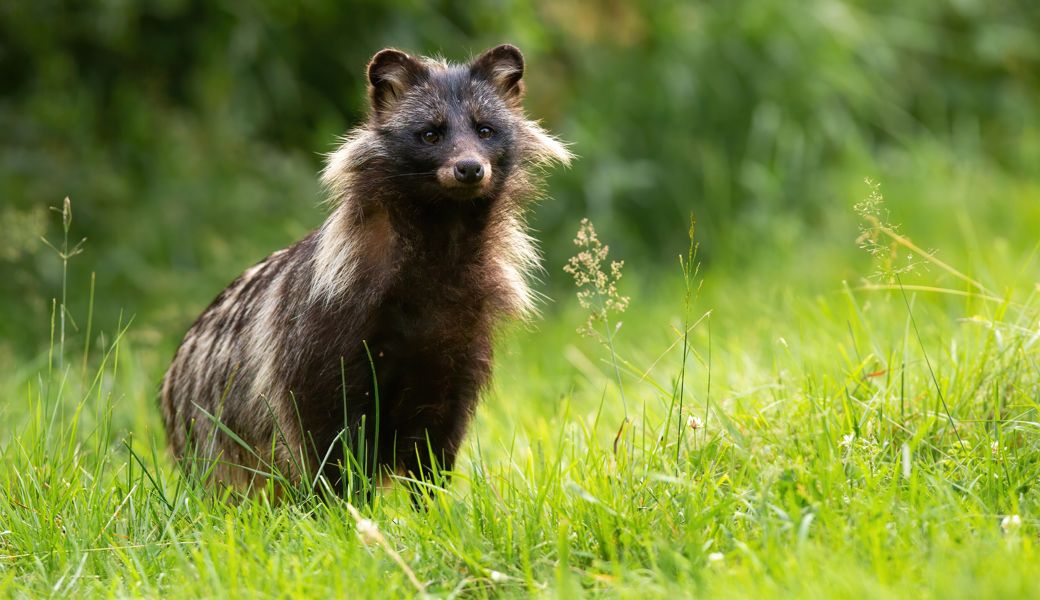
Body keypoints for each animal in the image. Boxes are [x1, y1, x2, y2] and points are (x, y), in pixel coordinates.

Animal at [158, 44, 574, 499]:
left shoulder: (460, 344)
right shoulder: (324, 330)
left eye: (485, 130)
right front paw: (343, 507)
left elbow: (435, 443)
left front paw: (435, 505)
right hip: (210, 436)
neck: (442, 241)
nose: (469, 168)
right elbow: (326, 438)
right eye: (430, 134)